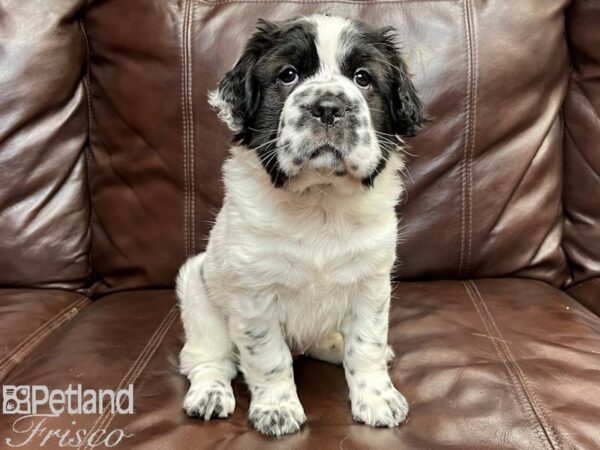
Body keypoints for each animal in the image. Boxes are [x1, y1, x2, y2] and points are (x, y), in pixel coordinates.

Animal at [178, 13, 426, 436]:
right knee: (207, 359)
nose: (327, 108)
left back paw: (335, 346)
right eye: (288, 75)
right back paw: (209, 393)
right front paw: (277, 409)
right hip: (196, 290)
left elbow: (367, 345)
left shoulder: (371, 284)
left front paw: (378, 399)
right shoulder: (254, 295)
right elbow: (269, 356)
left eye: (363, 78)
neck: (319, 202)